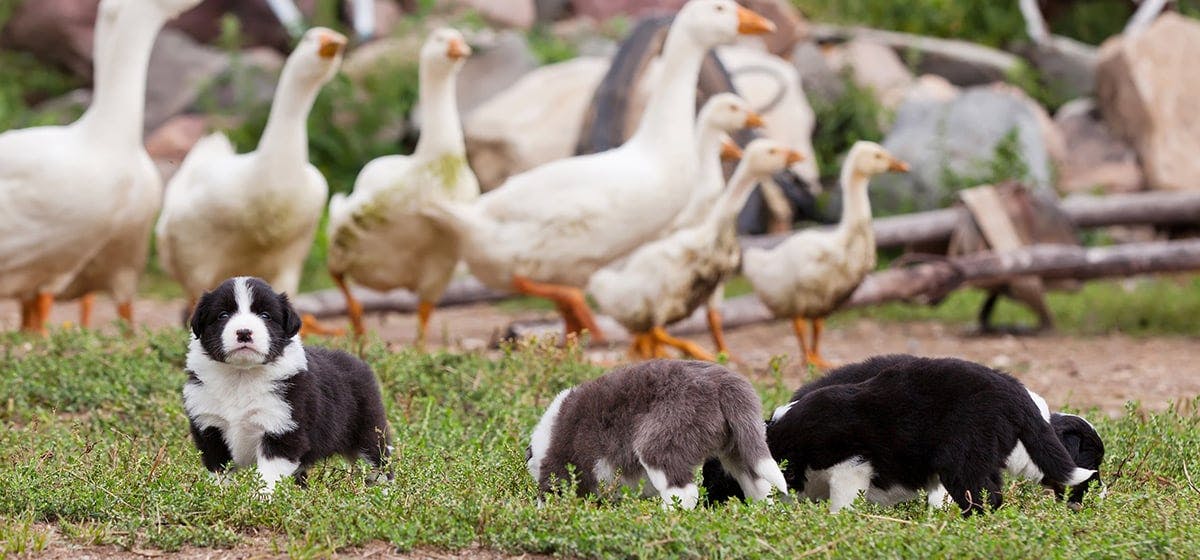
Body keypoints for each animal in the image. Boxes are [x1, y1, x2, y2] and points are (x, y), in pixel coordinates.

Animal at [180, 277, 391, 496]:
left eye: (265, 315)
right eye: (223, 315)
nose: (244, 333)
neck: (242, 375)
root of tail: (357, 361)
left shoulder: (281, 429)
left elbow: (269, 475)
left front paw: (262, 499)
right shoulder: (210, 429)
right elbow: (219, 473)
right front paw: (219, 496)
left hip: (369, 432)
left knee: (380, 464)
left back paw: (386, 494)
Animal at [525, 362, 787, 510]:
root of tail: (726, 384)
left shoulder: (559, 468)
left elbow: (550, 493)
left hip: (661, 442)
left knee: (683, 492)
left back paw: (663, 517)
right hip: (737, 444)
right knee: (757, 481)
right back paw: (760, 513)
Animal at [700, 357, 1094, 515]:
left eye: (715, 480)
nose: (700, 509)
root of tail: (1013, 391)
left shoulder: (850, 466)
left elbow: (841, 505)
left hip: (962, 460)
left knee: (984, 499)